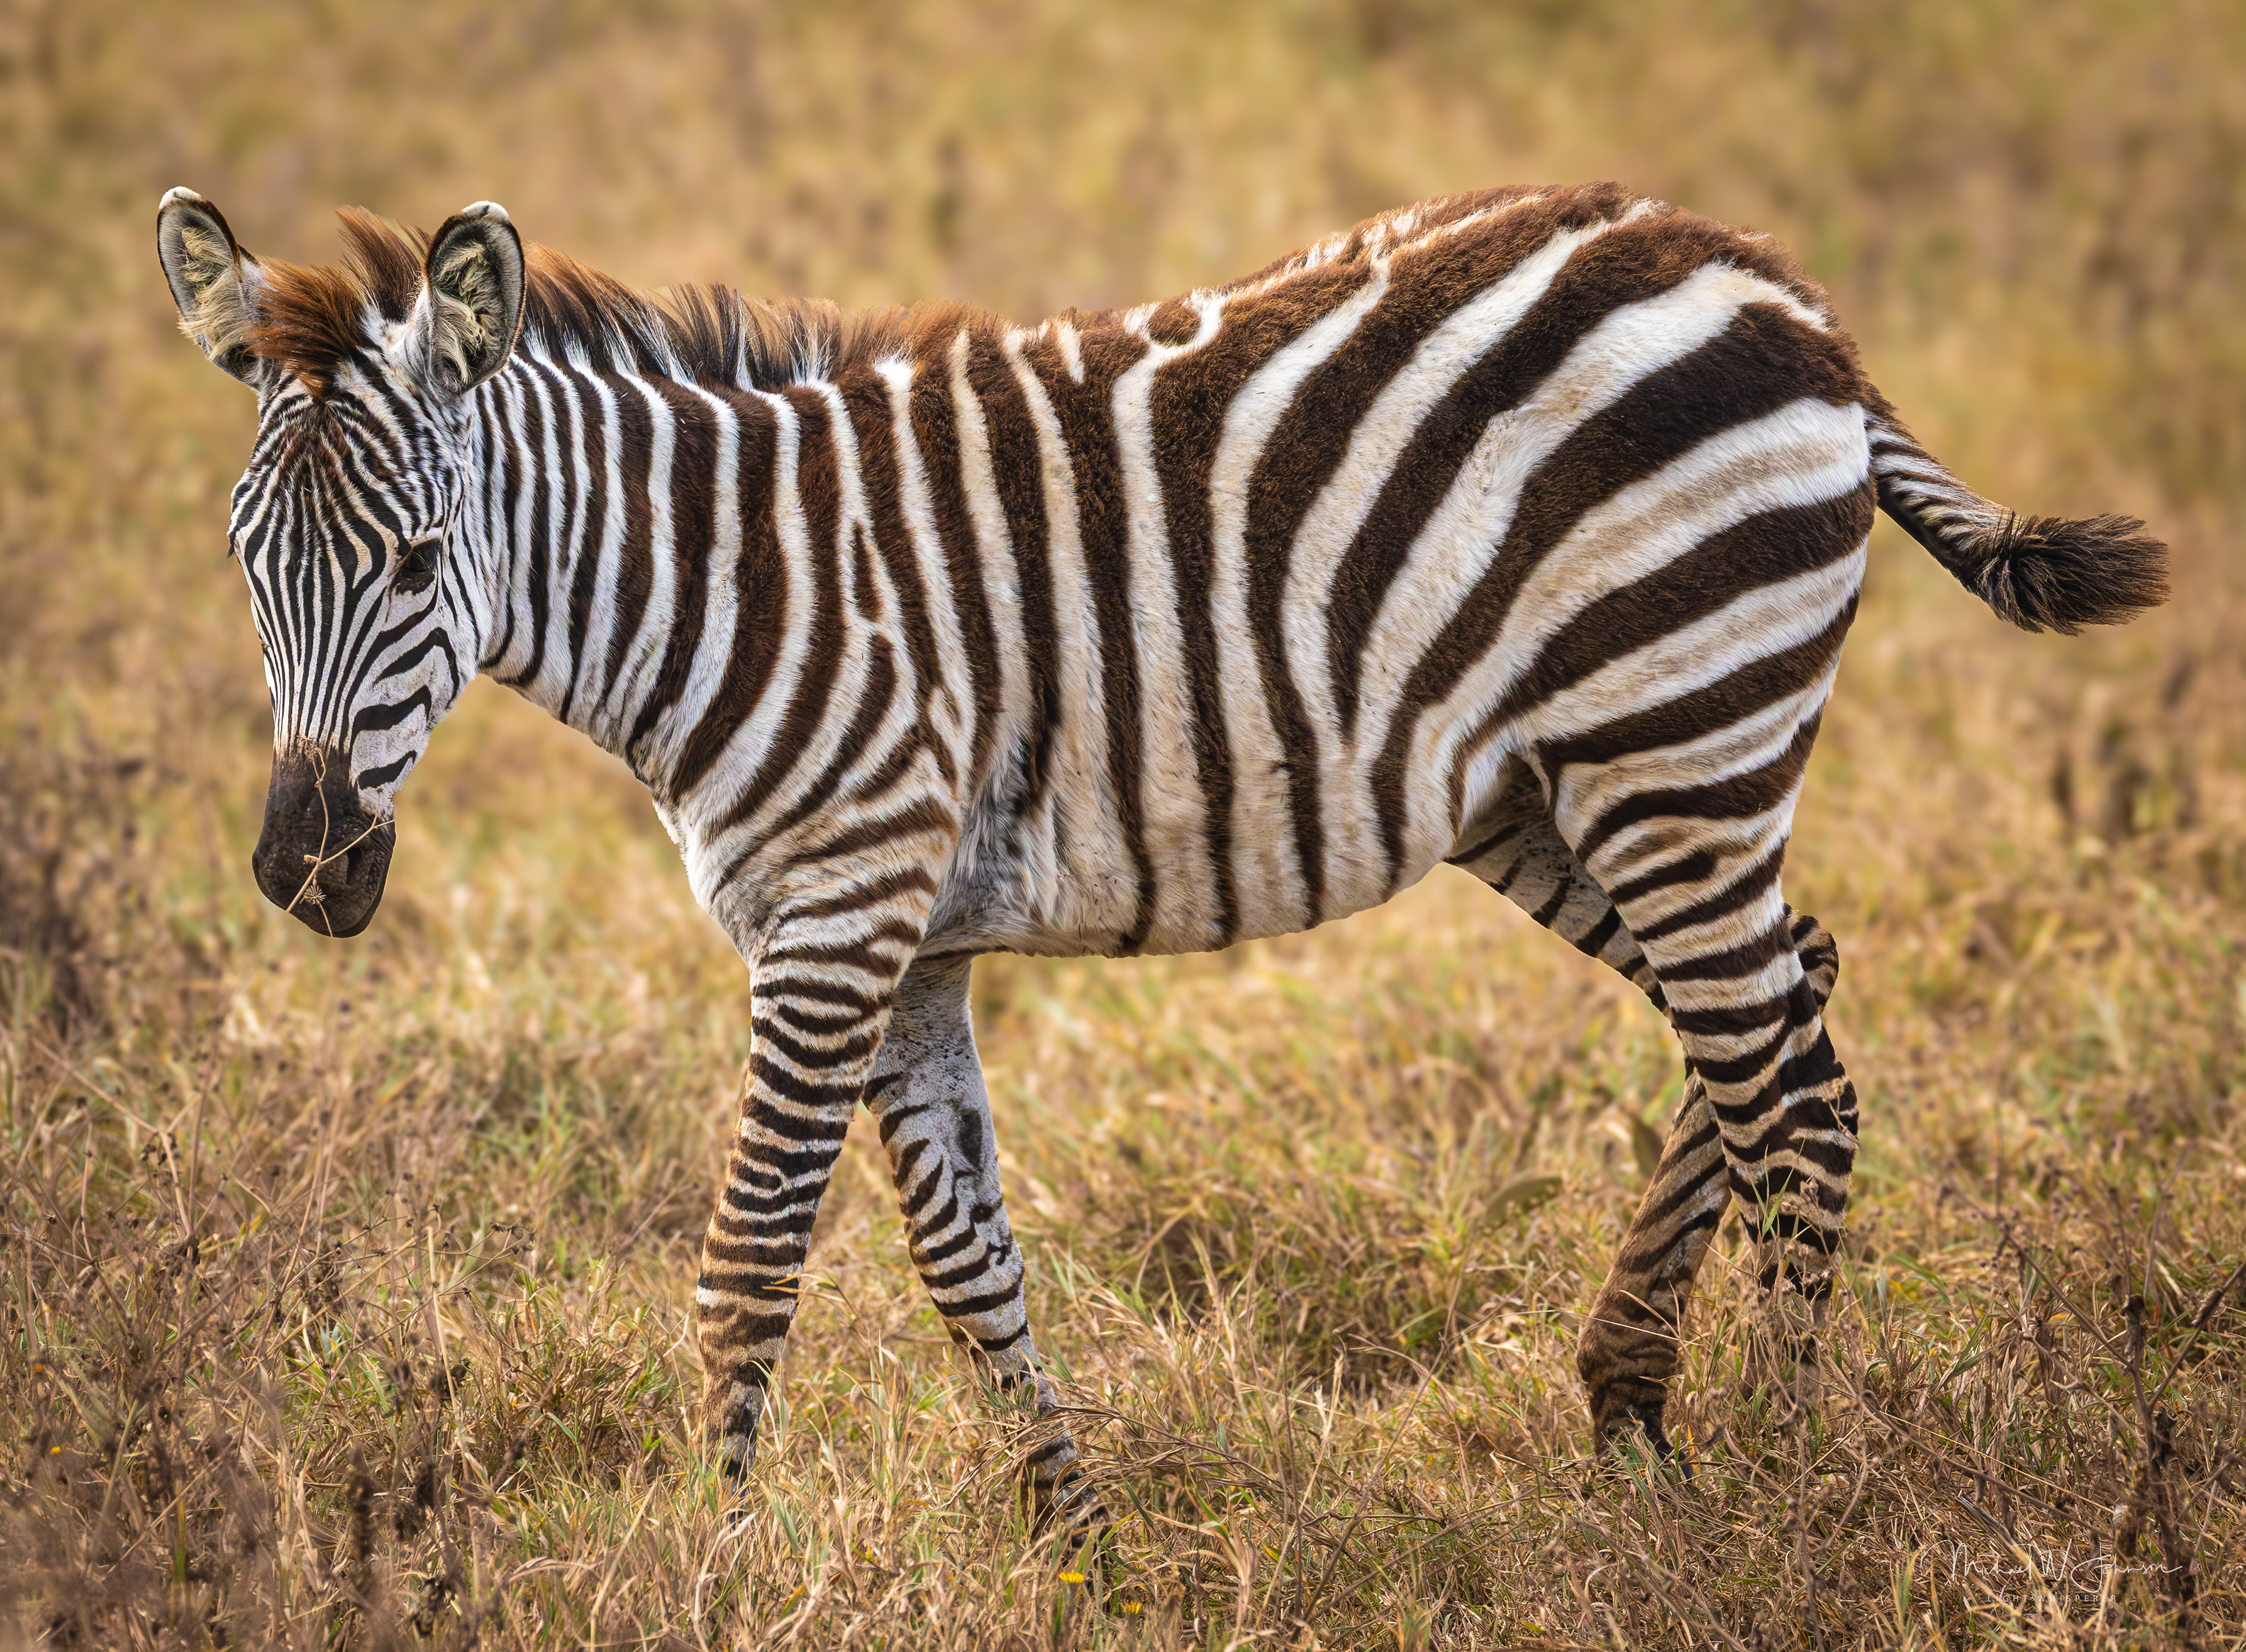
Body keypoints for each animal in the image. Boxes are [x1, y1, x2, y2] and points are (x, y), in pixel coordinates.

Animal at [157, 181, 2165, 1530]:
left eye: (419, 565)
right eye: (245, 565)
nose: (304, 873)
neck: (738, 594)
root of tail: (1777, 286)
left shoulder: (835, 913)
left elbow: (748, 1263)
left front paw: (712, 1558)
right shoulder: (909, 943)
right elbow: (964, 1260)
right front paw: (1076, 1542)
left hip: (1677, 740)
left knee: (1787, 1095)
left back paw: (1795, 1482)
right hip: (1563, 789)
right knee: (1793, 1011)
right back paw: (1630, 1391)